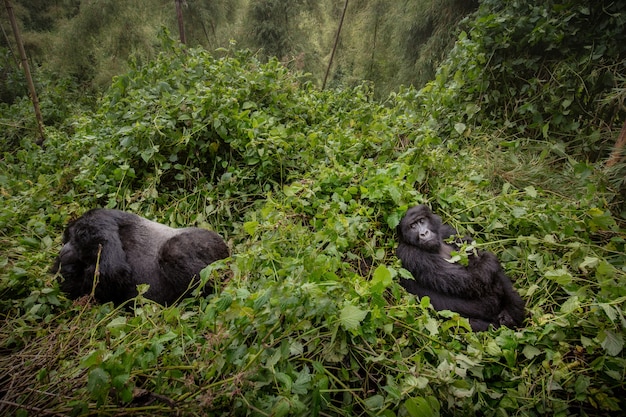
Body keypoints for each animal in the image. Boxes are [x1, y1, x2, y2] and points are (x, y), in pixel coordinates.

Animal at [52, 210, 229, 304]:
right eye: (66, 240)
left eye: (77, 237)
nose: (64, 250)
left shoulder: (97, 220)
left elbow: (113, 270)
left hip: (211, 245)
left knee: (173, 250)